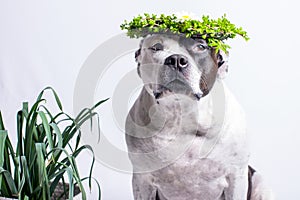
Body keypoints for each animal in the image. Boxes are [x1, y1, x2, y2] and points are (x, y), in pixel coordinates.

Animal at [124, 33, 272, 199]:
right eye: (156, 47)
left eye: (200, 47)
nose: (177, 60)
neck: (182, 116)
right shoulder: (142, 180)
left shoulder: (236, 177)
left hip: (261, 183)